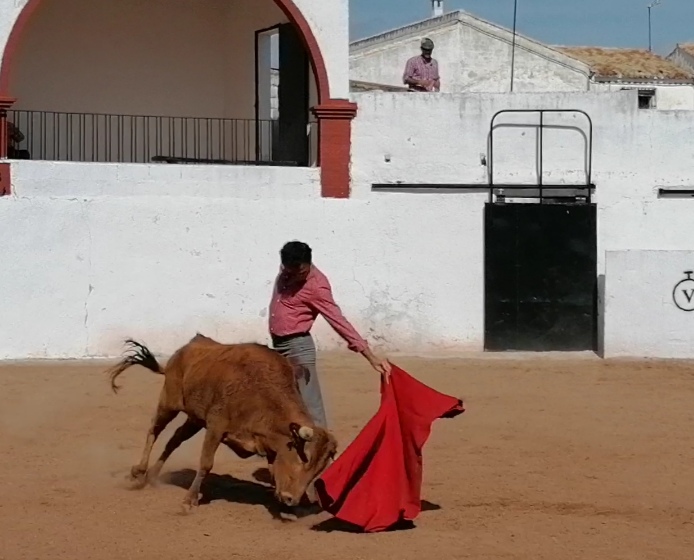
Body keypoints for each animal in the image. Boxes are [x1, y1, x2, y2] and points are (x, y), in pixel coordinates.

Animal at [106, 333, 338, 511]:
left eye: (318, 469)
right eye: (302, 458)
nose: (291, 499)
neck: (261, 393)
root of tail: (184, 349)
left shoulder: (270, 445)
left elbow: (273, 472)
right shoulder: (216, 427)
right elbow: (206, 463)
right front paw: (189, 501)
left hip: (195, 419)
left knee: (174, 440)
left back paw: (152, 476)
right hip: (169, 402)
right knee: (155, 430)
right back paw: (138, 472)